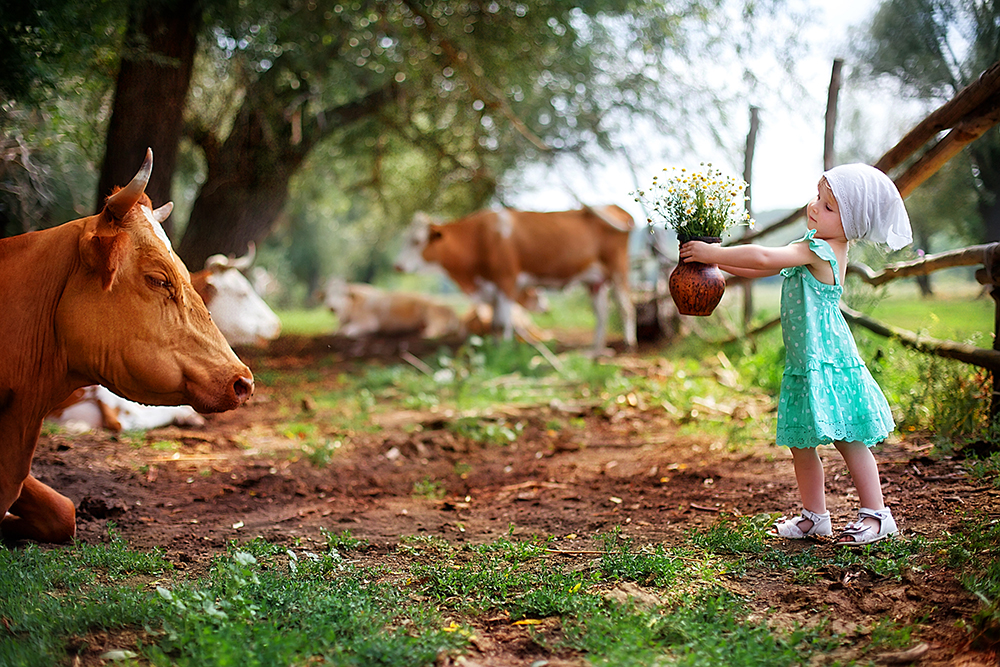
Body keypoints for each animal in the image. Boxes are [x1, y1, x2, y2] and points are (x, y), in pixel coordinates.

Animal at [394, 207, 636, 354]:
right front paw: (495, 349)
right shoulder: (492, 288)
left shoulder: (506, 281)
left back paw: (628, 344)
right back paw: (595, 350)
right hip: (595, 281)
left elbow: (502, 323)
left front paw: (505, 351)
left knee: (626, 307)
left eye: (417, 241)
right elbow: (493, 325)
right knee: (602, 314)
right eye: (404, 239)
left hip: (618, 269)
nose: (397, 265)